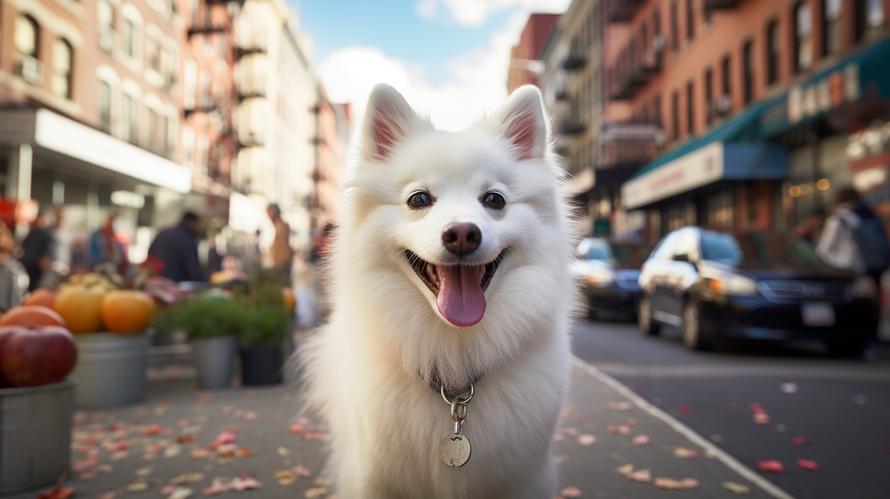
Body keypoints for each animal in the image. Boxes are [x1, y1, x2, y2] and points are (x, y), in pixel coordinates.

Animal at [302, 84, 572, 498]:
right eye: (419, 199)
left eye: (493, 200)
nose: (462, 233)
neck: (453, 357)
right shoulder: (376, 478)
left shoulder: (521, 478)